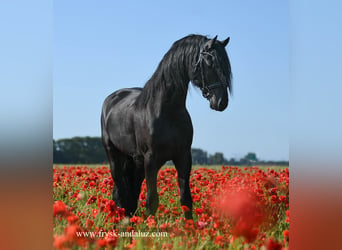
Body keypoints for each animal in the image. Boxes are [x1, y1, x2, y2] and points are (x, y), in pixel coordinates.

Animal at [100, 33, 231, 219]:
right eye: (210, 62)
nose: (221, 102)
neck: (167, 111)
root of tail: (112, 99)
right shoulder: (151, 159)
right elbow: (152, 201)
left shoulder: (183, 156)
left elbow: (186, 199)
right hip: (114, 156)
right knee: (120, 189)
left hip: (136, 161)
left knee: (131, 191)